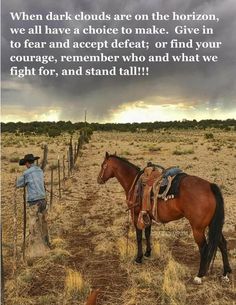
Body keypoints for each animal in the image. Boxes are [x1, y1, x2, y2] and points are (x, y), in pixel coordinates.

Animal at [97, 152, 231, 282]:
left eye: (103, 165)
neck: (134, 183)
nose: (99, 179)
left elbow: (139, 237)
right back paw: (226, 273)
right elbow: (147, 234)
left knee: (204, 248)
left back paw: (199, 275)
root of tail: (210, 186)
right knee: (222, 244)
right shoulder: (147, 215)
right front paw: (148, 253)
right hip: (212, 224)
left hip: (198, 228)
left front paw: (139, 258)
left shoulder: (136, 215)